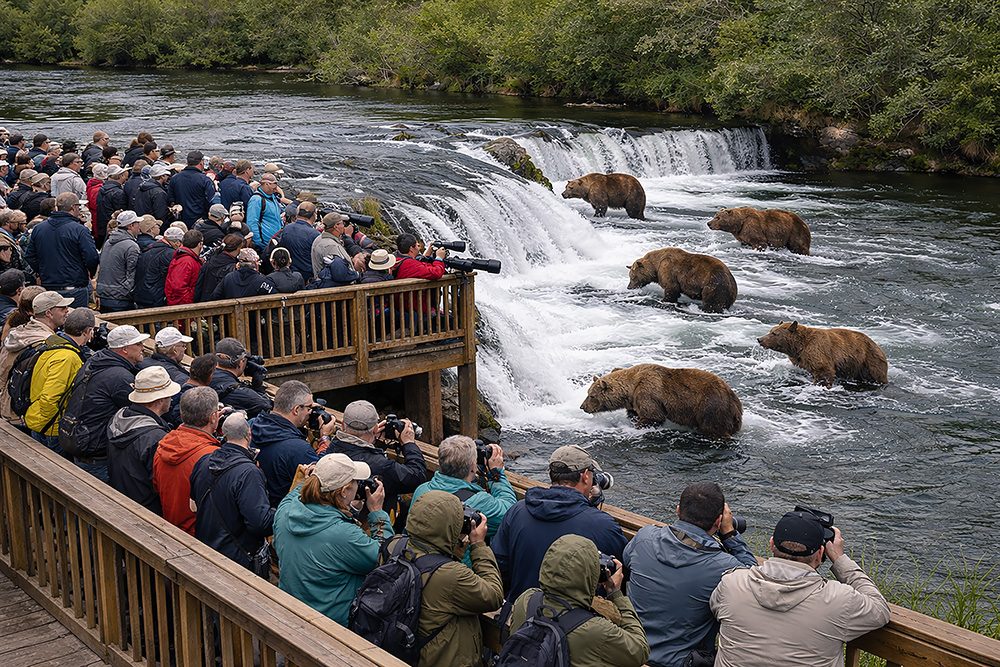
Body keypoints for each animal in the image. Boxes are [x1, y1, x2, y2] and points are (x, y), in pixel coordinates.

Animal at [580, 363, 742, 438]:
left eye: (591, 395)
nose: (582, 407)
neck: (631, 390)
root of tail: (736, 404)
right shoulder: (635, 401)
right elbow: (635, 413)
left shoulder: (647, 393)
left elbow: (653, 416)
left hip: (710, 407)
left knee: (713, 427)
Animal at [757, 321, 888, 387]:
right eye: (770, 331)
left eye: (774, 333)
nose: (760, 339)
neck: (799, 346)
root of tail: (880, 348)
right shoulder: (800, 359)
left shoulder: (817, 349)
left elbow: (823, 370)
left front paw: (821, 384)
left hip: (869, 361)